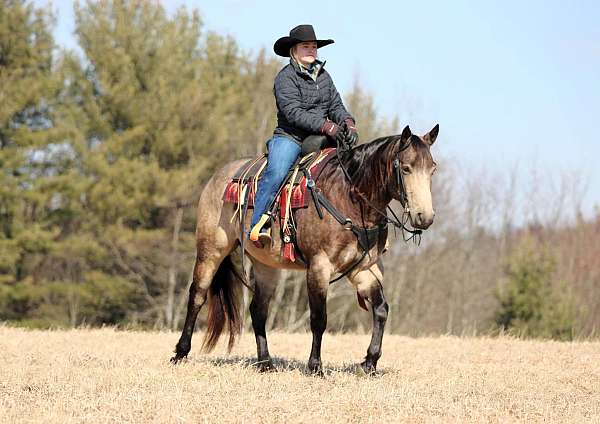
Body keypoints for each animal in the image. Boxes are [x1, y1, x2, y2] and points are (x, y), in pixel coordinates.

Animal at [171, 123, 438, 374]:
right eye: (406, 168)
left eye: (432, 169)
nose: (424, 217)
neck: (348, 197)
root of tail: (218, 177)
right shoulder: (319, 266)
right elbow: (319, 318)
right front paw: (315, 366)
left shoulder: (363, 269)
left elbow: (381, 310)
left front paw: (369, 363)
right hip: (210, 250)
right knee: (197, 295)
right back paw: (180, 353)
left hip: (266, 266)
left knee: (258, 310)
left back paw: (265, 362)